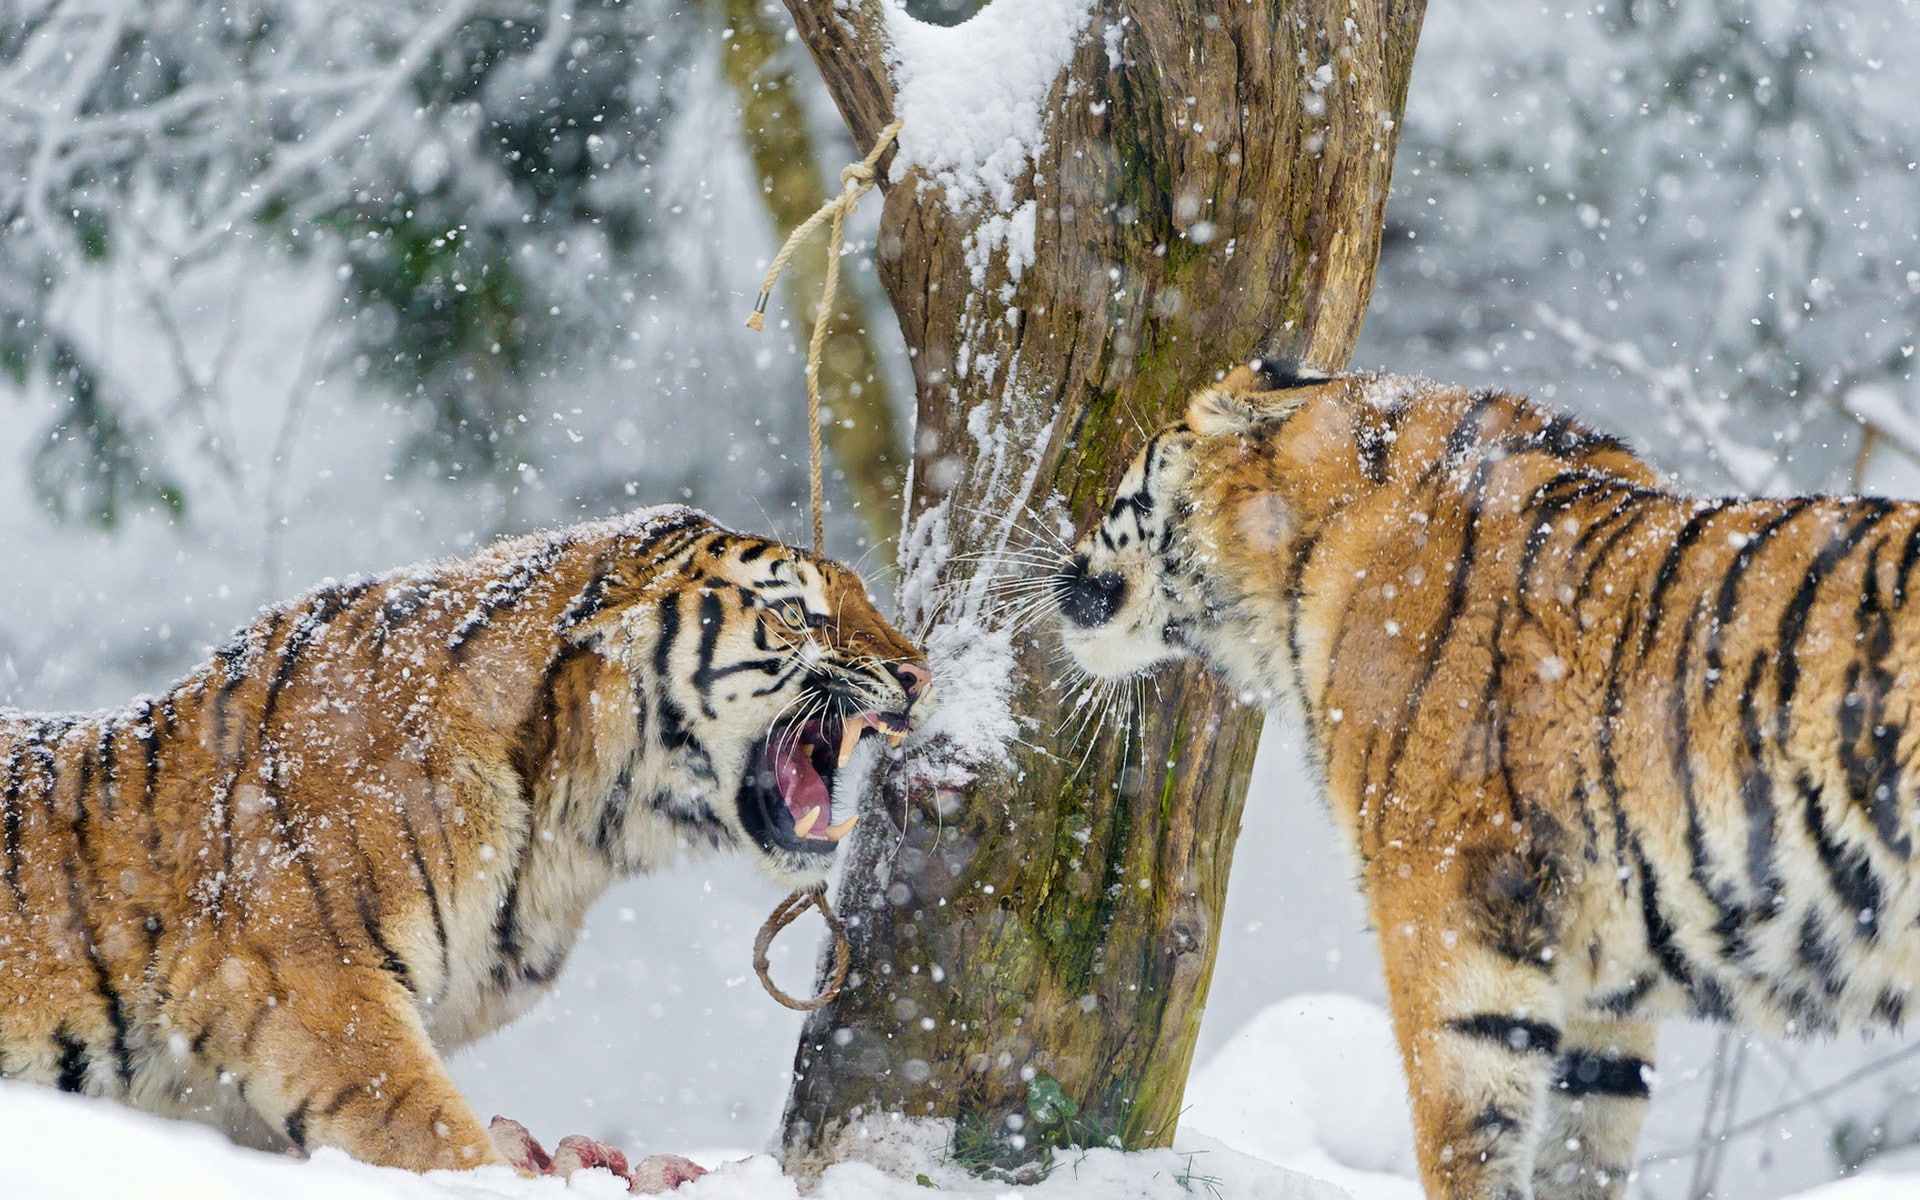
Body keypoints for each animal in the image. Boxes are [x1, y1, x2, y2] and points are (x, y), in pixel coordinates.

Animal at [1053, 358, 1920, 1200]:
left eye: (1125, 482)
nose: (1064, 563)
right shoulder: (1606, 989)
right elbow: (1584, 1151)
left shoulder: (1445, 919)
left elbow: (1466, 1145)